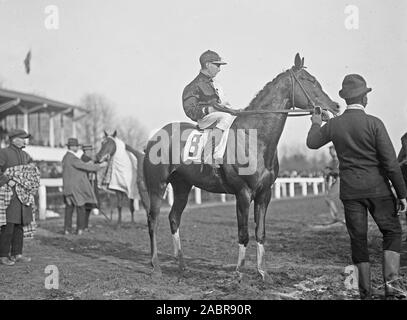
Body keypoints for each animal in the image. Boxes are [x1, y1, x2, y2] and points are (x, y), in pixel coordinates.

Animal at [143, 53, 342, 280]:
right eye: (309, 80)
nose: (336, 106)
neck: (255, 139)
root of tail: (156, 136)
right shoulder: (243, 193)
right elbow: (243, 233)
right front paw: (239, 272)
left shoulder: (265, 193)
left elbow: (260, 233)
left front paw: (263, 272)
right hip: (157, 185)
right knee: (153, 219)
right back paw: (156, 265)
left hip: (182, 186)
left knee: (174, 218)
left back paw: (182, 265)